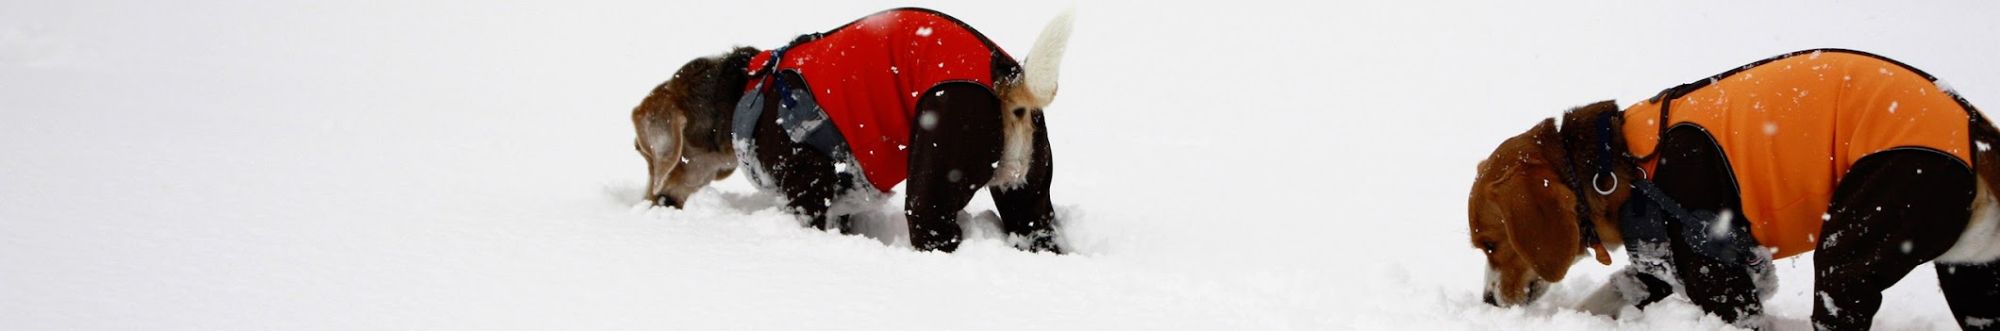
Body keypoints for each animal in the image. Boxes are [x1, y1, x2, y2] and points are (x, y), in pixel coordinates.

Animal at [1472, 49, 2000, 331]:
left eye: (1492, 245)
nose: (1489, 303)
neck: (1617, 165)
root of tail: (1975, 131)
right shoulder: (1662, 262)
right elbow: (1612, 293)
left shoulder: (1717, 277)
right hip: (1972, 278)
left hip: (1851, 251)